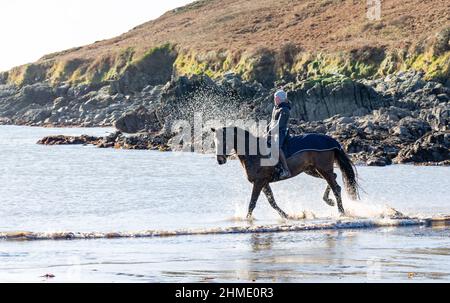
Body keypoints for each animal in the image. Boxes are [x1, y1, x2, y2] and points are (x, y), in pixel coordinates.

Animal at [212, 126, 362, 221]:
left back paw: (341, 213)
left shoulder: (259, 182)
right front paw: (287, 216)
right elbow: (272, 202)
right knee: (334, 180)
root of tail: (332, 140)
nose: (220, 160)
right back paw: (329, 201)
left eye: (224, 140)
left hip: (323, 169)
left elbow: (252, 203)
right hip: (313, 170)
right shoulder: (263, 182)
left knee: (336, 187)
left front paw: (247, 219)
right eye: (215, 141)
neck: (254, 153)